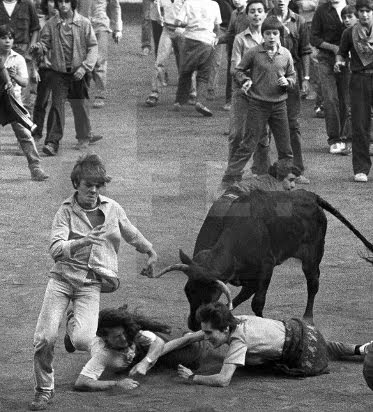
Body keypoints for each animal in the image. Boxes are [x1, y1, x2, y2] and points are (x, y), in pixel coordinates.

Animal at [144, 190, 372, 332]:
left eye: (209, 296)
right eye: (188, 291)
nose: (193, 324)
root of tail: (309, 195)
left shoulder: (266, 268)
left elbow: (257, 302)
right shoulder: (247, 277)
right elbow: (241, 297)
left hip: (312, 256)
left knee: (313, 284)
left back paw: (308, 318)